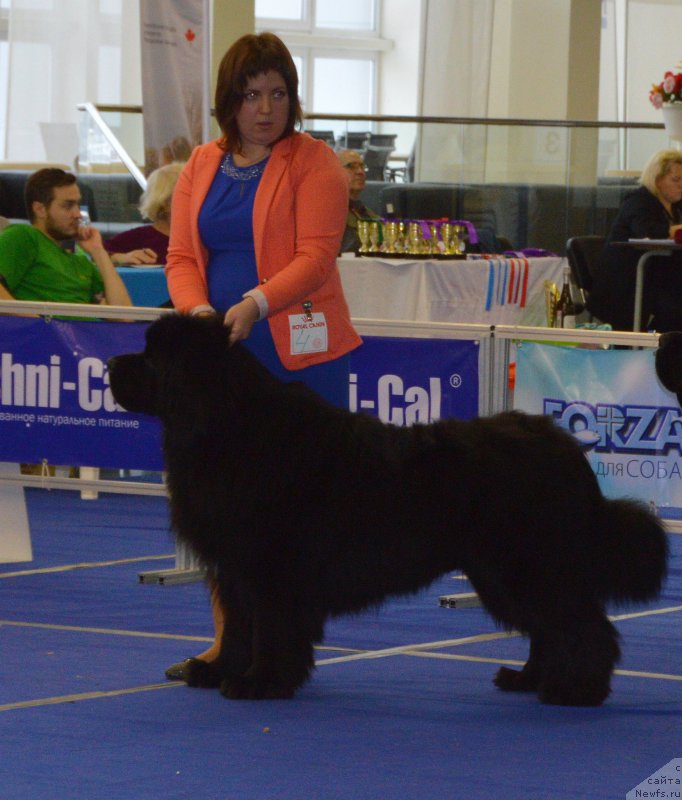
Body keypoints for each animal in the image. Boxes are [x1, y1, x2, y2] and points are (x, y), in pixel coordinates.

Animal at [107, 316, 664, 704]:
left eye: (151, 356)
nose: (110, 365)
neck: (226, 424)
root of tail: (563, 443)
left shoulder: (268, 569)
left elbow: (268, 627)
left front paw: (261, 683)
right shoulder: (235, 567)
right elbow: (239, 627)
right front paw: (221, 672)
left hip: (528, 564)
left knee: (582, 624)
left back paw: (577, 691)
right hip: (500, 572)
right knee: (549, 627)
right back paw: (526, 679)